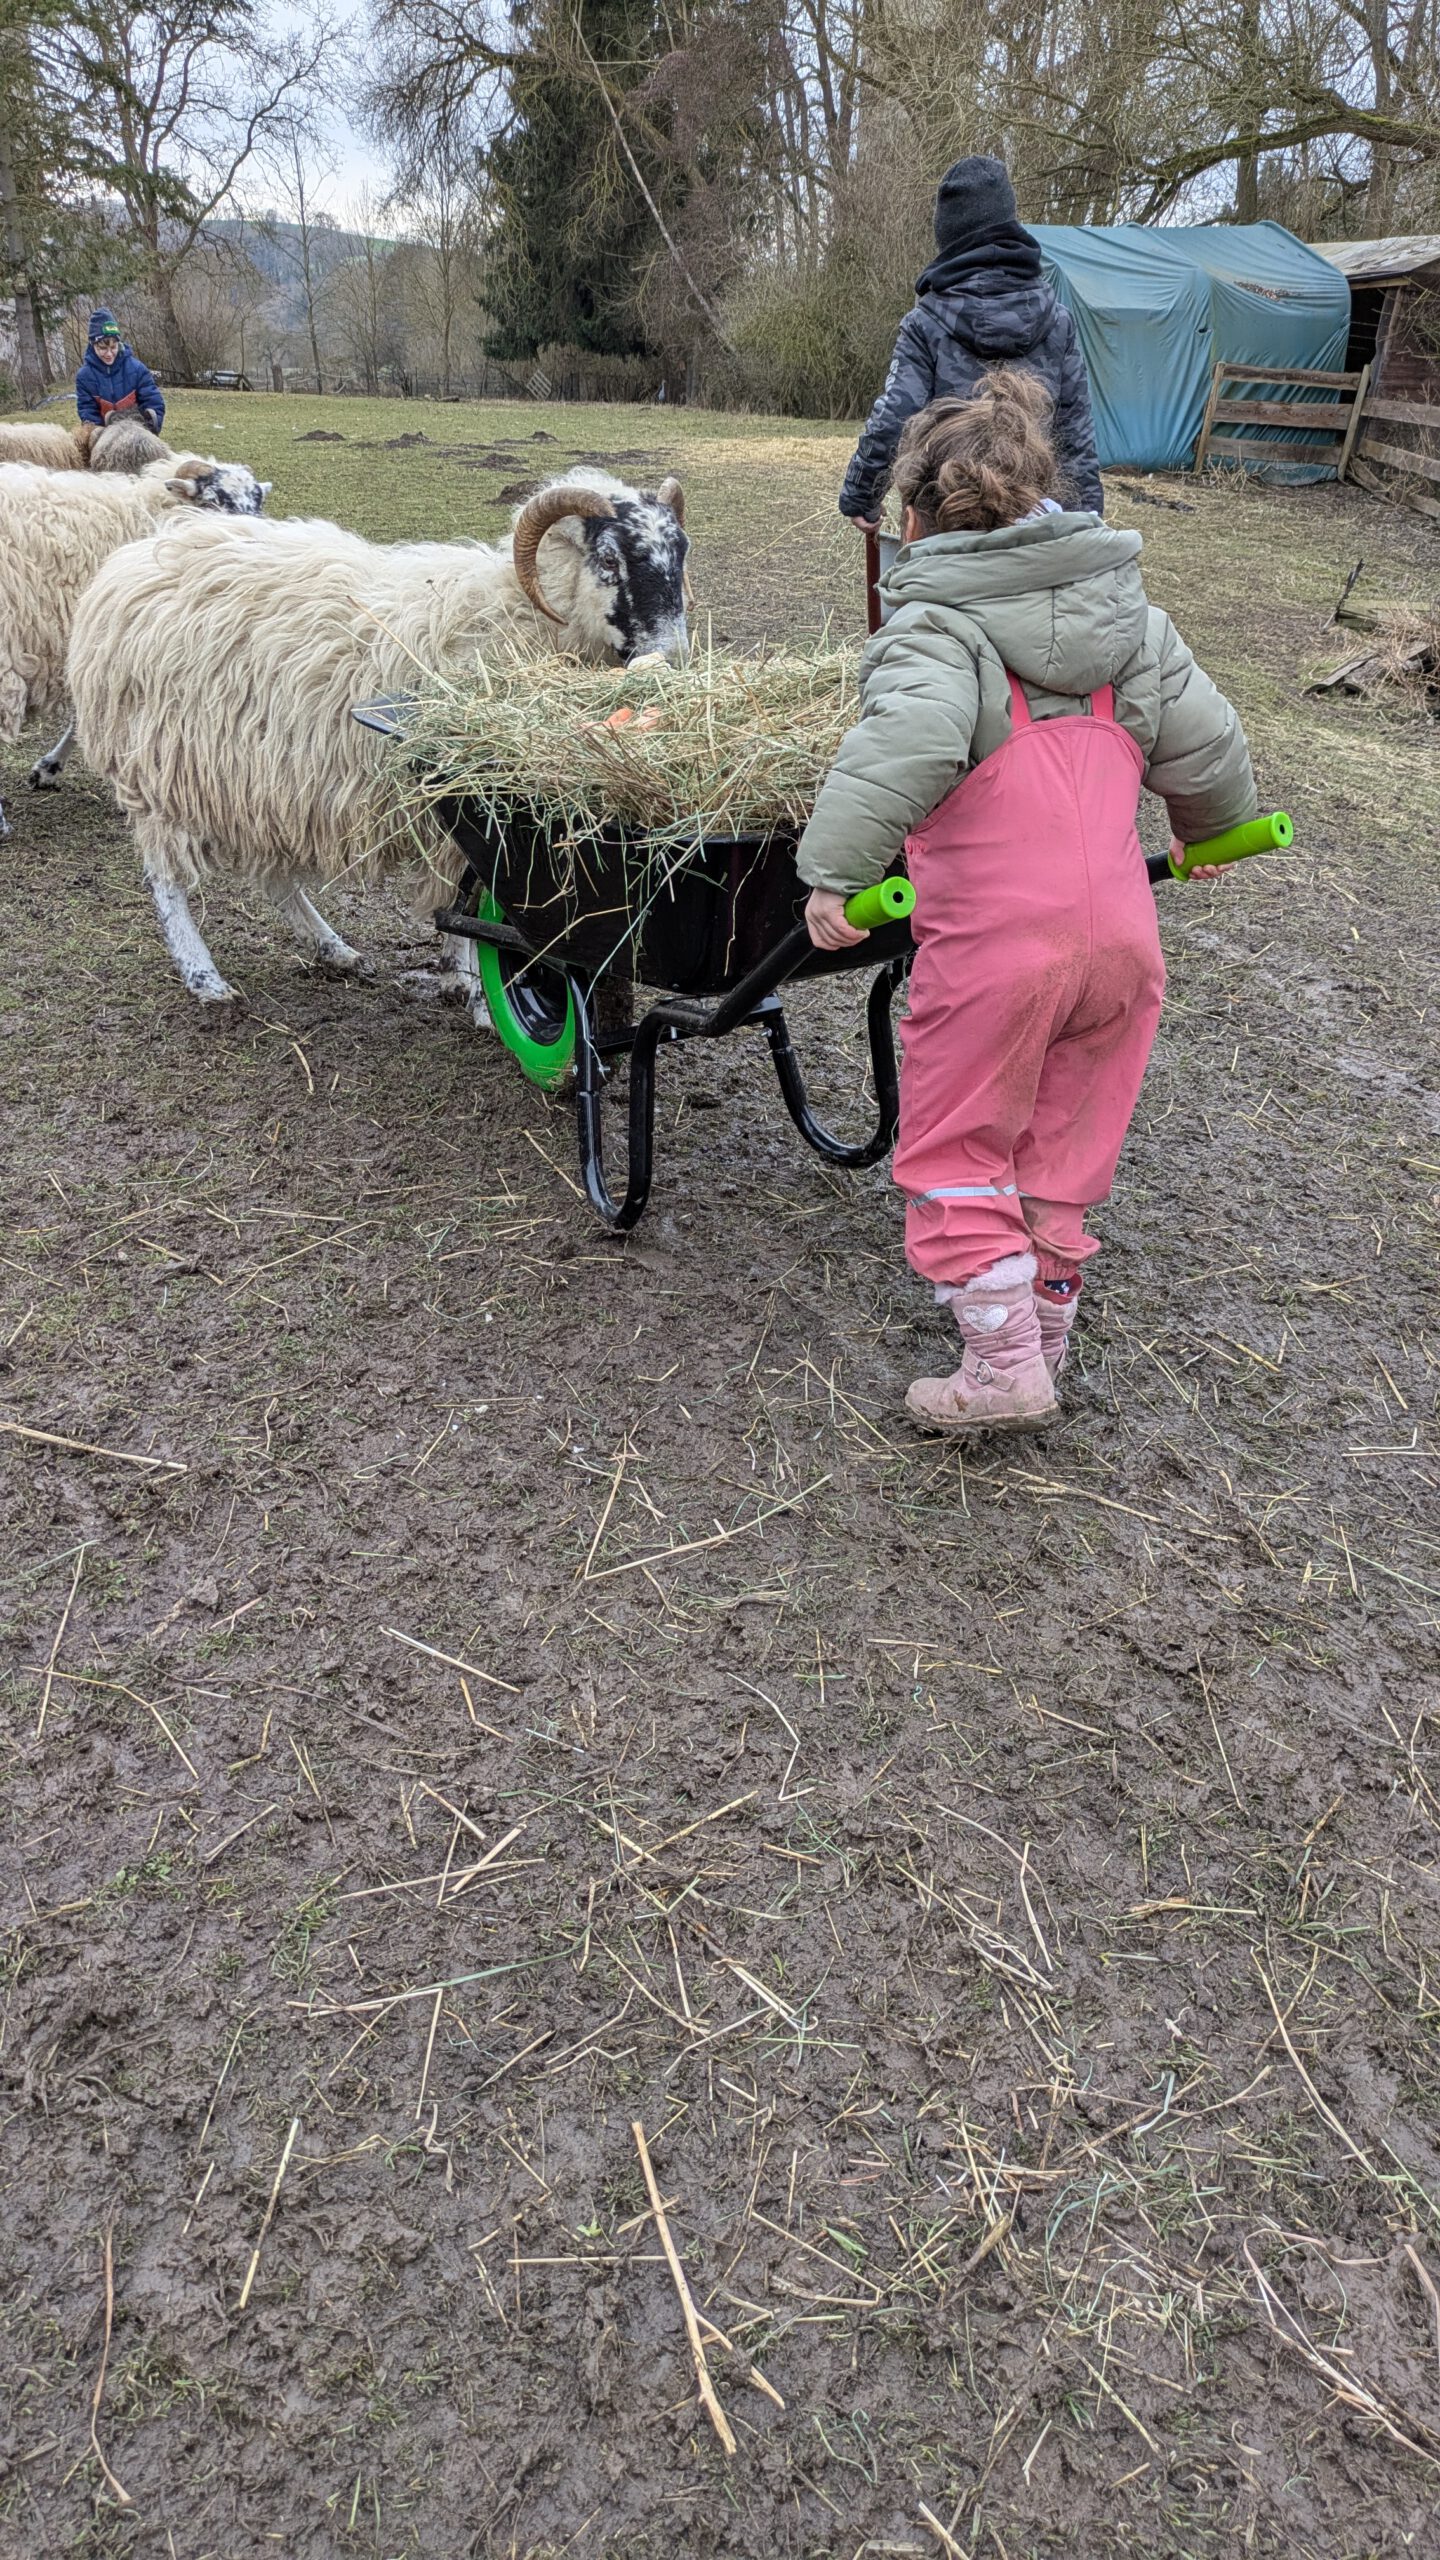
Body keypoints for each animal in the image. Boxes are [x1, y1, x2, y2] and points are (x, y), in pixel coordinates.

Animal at [67, 470, 690, 1007]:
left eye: (680, 553)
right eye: (608, 560)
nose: (672, 659)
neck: (521, 616)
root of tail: (130, 562)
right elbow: (470, 904)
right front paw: (474, 990)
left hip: (258, 778)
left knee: (275, 878)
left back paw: (332, 948)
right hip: (162, 768)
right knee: (166, 877)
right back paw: (204, 977)